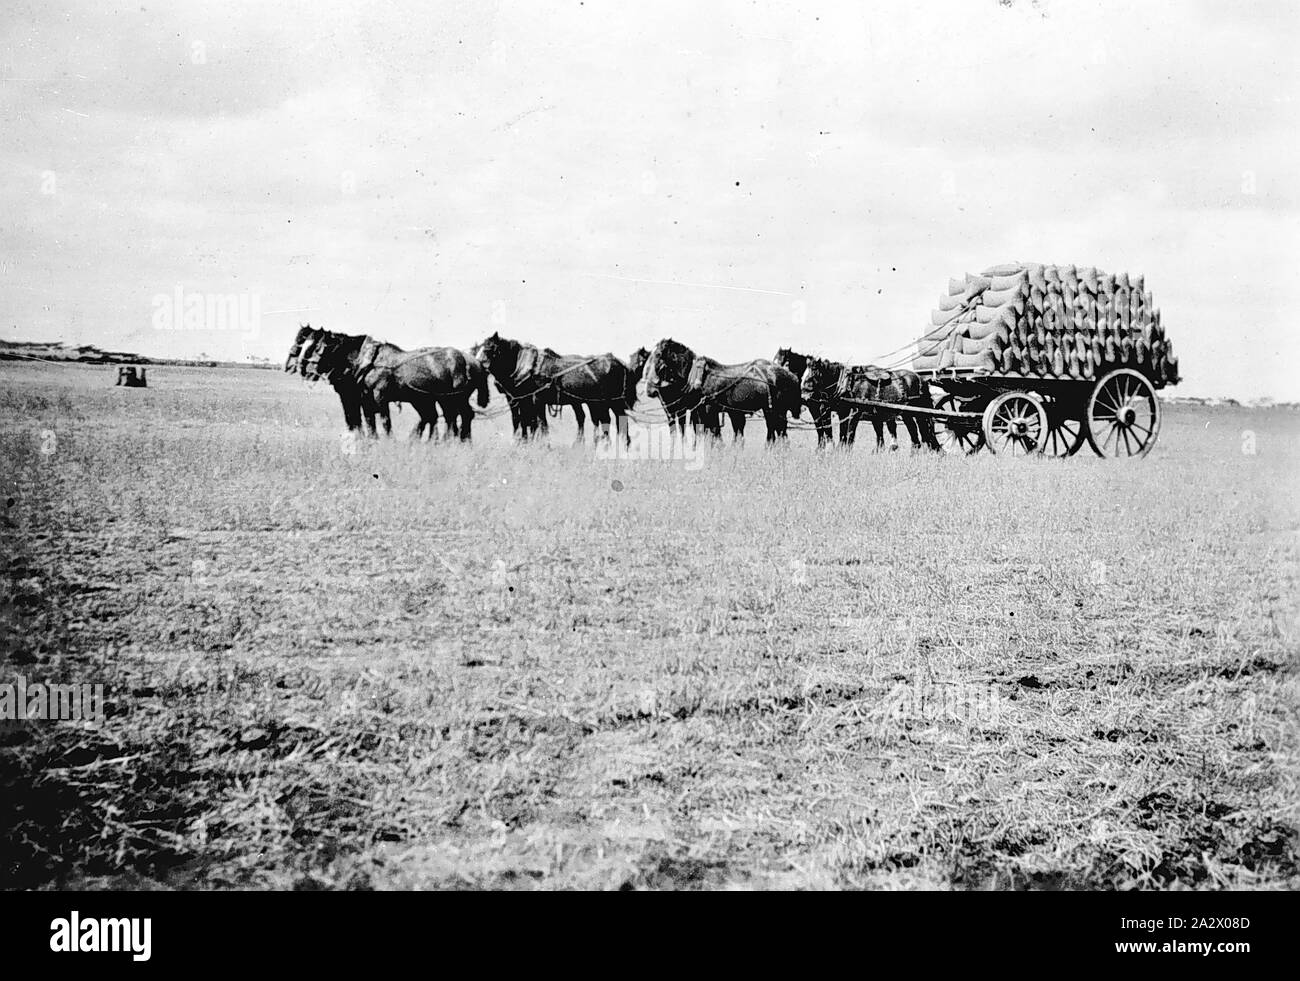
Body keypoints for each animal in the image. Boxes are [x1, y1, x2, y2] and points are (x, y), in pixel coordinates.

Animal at [475, 333, 634, 445]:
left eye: (490, 348)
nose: (478, 364)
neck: (528, 368)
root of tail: (618, 362)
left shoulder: (535, 400)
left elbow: (539, 423)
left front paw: (542, 445)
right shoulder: (521, 400)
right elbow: (525, 421)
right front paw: (525, 442)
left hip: (610, 402)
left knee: (613, 421)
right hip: (599, 403)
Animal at [800, 357, 940, 451]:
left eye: (813, 374)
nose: (804, 397)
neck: (848, 384)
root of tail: (921, 378)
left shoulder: (855, 412)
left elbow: (850, 433)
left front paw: (845, 451)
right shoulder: (843, 412)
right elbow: (842, 433)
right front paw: (840, 450)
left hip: (916, 412)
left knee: (922, 431)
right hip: (907, 414)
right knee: (916, 431)